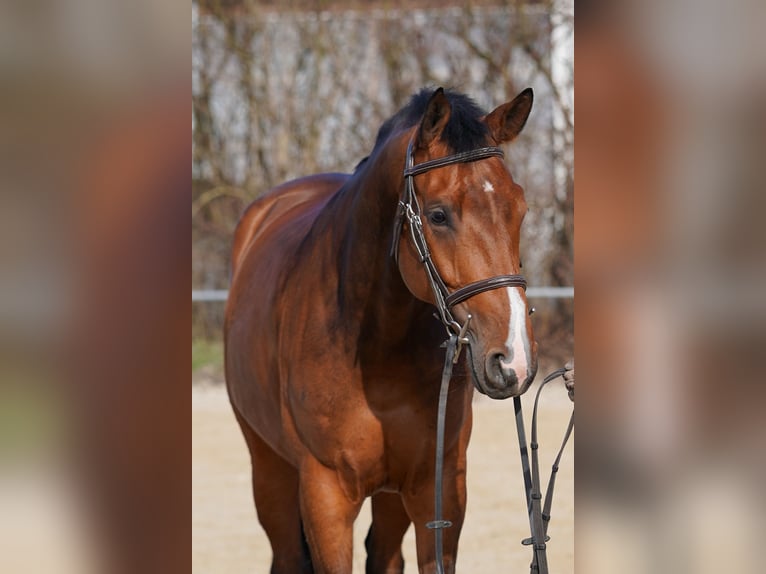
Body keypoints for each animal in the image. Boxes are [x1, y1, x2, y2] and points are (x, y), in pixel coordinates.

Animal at [226, 86, 540, 574]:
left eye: (519, 209)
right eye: (438, 215)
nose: (513, 357)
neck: (375, 349)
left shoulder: (438, 488)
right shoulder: (326, 496)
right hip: (268, 468)